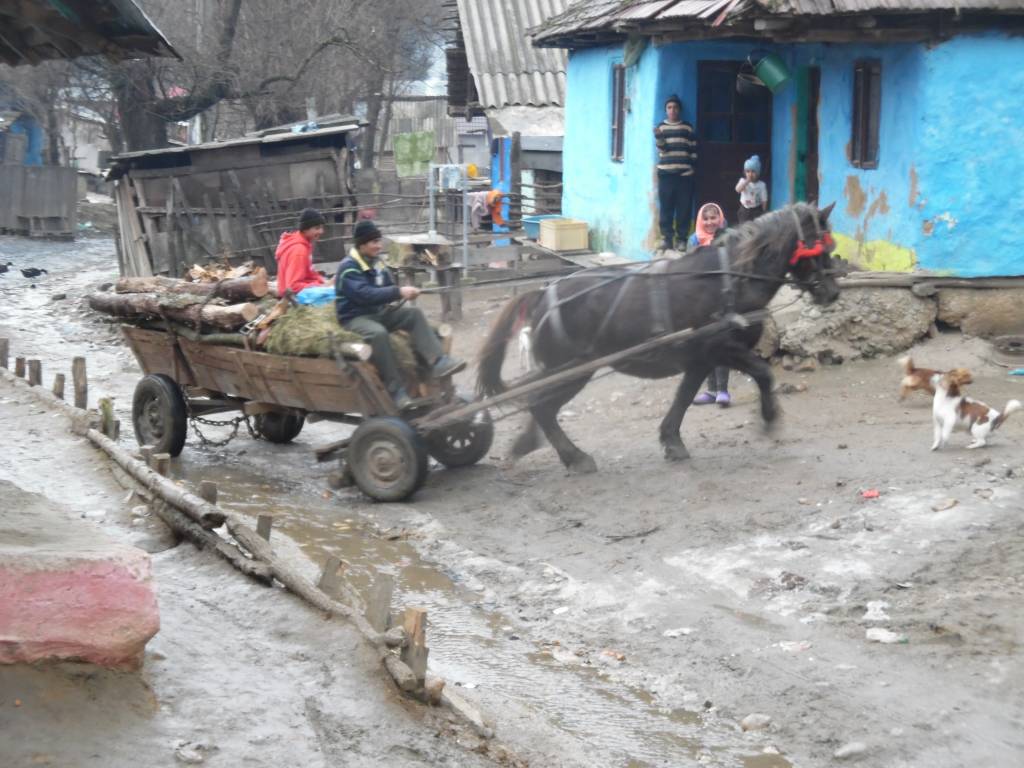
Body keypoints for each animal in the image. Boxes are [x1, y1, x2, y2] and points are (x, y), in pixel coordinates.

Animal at [477, 201, 839, 473]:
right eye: (820, 245)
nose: (832, 292)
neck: (733, 279)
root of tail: (541, 294)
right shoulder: (723, 348)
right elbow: (763, 373)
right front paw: (768, 418)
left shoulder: (700, 358)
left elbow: (683, 397)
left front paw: (672, 441)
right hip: (572, 371)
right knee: (541, 406)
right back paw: (574, 457)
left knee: (539, 405)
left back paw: (532, 444)